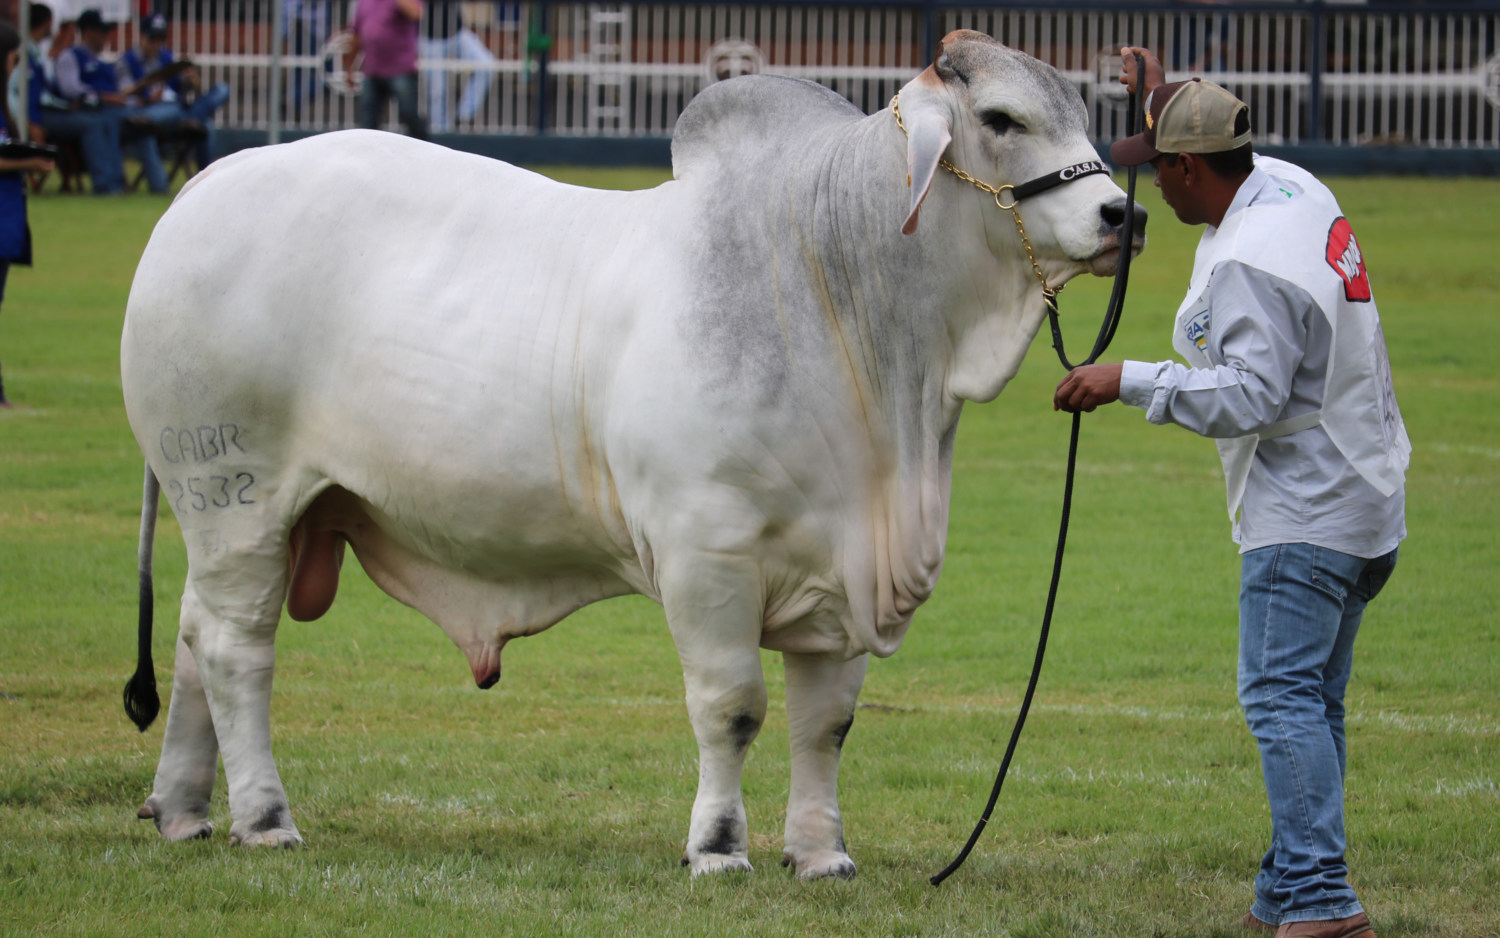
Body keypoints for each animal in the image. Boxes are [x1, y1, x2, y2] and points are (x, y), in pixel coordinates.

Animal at [123, 31, 1140, 876]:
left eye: (1088, 114)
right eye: (1002, 119)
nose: (1120, 215)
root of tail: (213, 180)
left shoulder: (840, 574)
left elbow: (826, 724)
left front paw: (821, 855)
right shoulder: (706, 555)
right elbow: (732, 708)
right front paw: (718, 848)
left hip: (248, 521)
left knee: (193, 636)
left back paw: (182, 808)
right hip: (233, 494)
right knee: (236, 650)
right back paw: (264, 817)